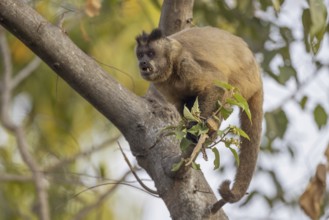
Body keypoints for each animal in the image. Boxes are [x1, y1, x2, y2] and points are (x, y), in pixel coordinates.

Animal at [135, 26, 262, 212]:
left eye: (151, 53)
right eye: (140, 54)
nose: (143, 62)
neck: (171, 66)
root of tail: (258, 76)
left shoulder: (185, 64)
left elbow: (216, 82)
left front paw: (199, 129)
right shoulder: (162, 84)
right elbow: (182, 105)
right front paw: (190, 130)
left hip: (242, 85)